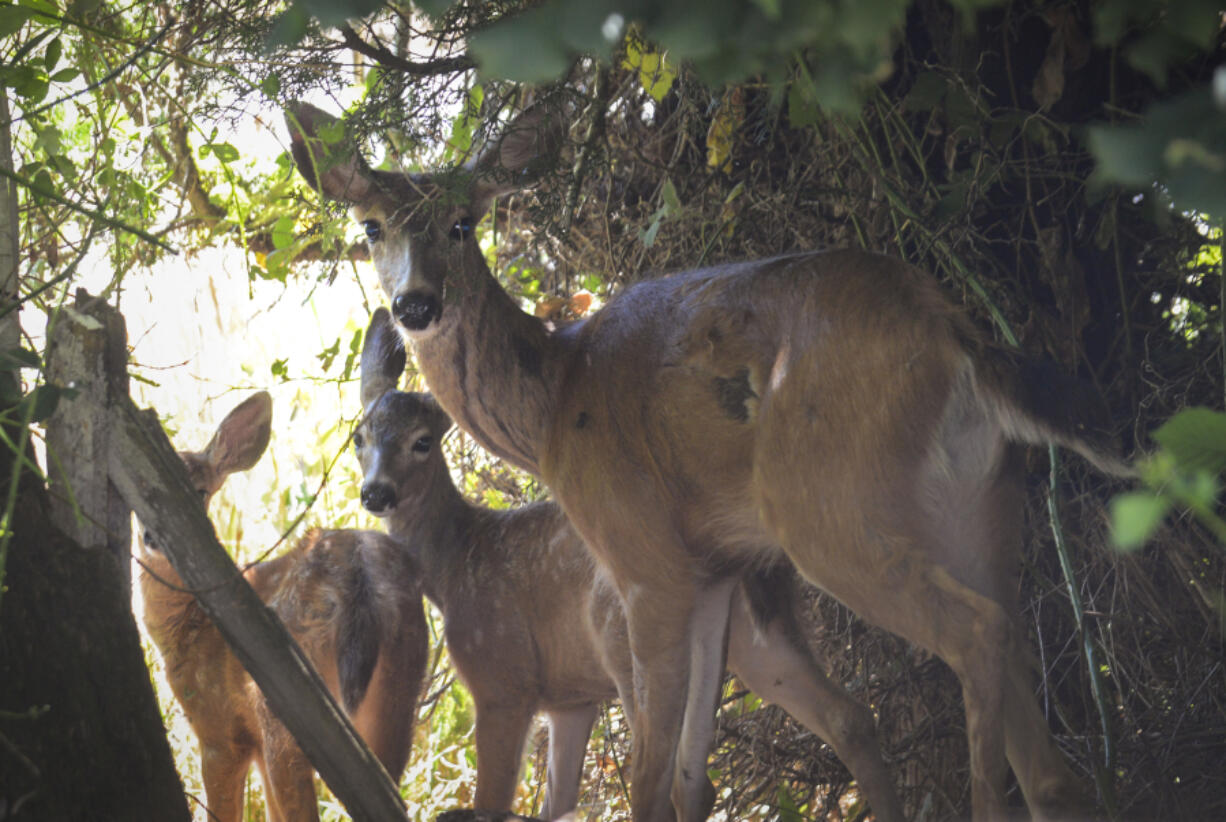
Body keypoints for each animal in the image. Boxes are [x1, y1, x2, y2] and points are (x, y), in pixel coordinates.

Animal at [134, 392, 429, 822]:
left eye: (200, 491)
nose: (151, 537)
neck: (188, 626)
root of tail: (359, 572)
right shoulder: (252, 743)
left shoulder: (220, 731)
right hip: (402, 682)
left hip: (286, 704)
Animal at [350, 307, 907, 822]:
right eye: (359, 437)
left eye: (423, 441)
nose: (376, 492)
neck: (456, 564)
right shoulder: (570, 701)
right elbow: (555, 806)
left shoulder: (503, 676)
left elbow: (492, 803)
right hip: (760, 640)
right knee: (849, 719)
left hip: (626, 635)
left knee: (674, 778)